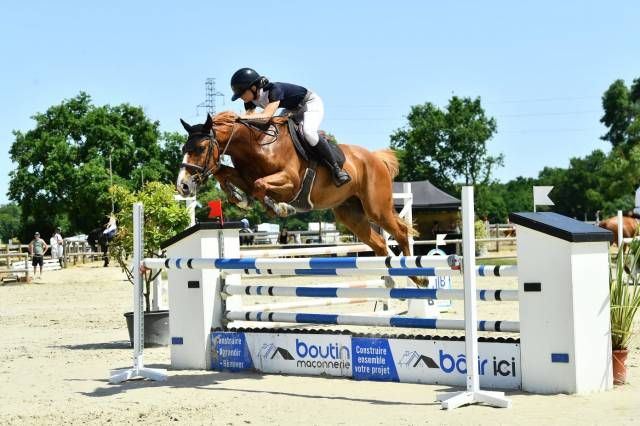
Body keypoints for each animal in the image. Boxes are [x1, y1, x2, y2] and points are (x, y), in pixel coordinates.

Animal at [176, 112, 425, 286]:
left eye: (200, 148)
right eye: (184, 148)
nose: (183, 186)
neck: (257, 144)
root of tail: (375, 158)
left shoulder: (291, 181)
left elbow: (260, 186)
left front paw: (280, 207)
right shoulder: (245, 176)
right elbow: (227, 175)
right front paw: (241, 199)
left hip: (376, 208)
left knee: (400, 232)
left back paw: (418, 277)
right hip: (351, 215)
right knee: (380, 243)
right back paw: (390, 279)